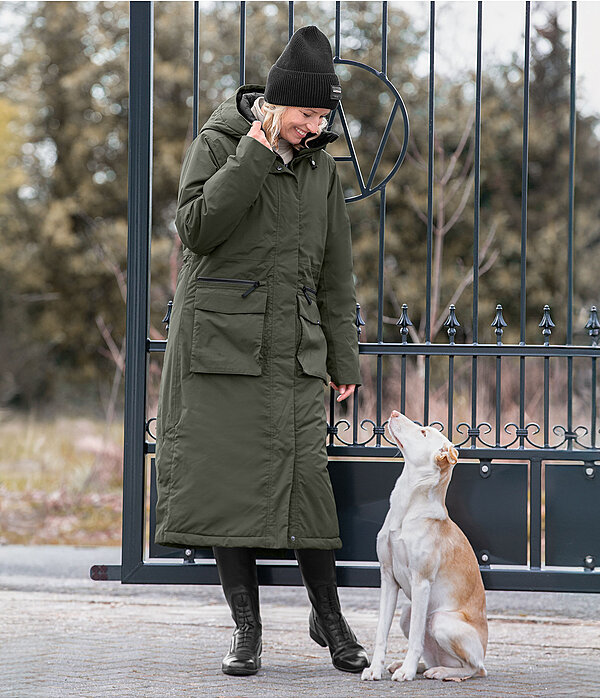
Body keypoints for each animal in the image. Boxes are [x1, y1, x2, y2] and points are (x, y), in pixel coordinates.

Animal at [360, 410, 488, 684]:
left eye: (423, 432)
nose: (394, 412)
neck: (407, 506)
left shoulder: (421, 582)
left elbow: (416, 639)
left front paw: (406, 673)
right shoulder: (387, 578)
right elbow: (381, 633)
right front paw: (375, 669)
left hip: (440, 620)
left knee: (474, 668)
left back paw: (442, 672)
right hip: (407, 613)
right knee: (432, 656)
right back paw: (410, 665)